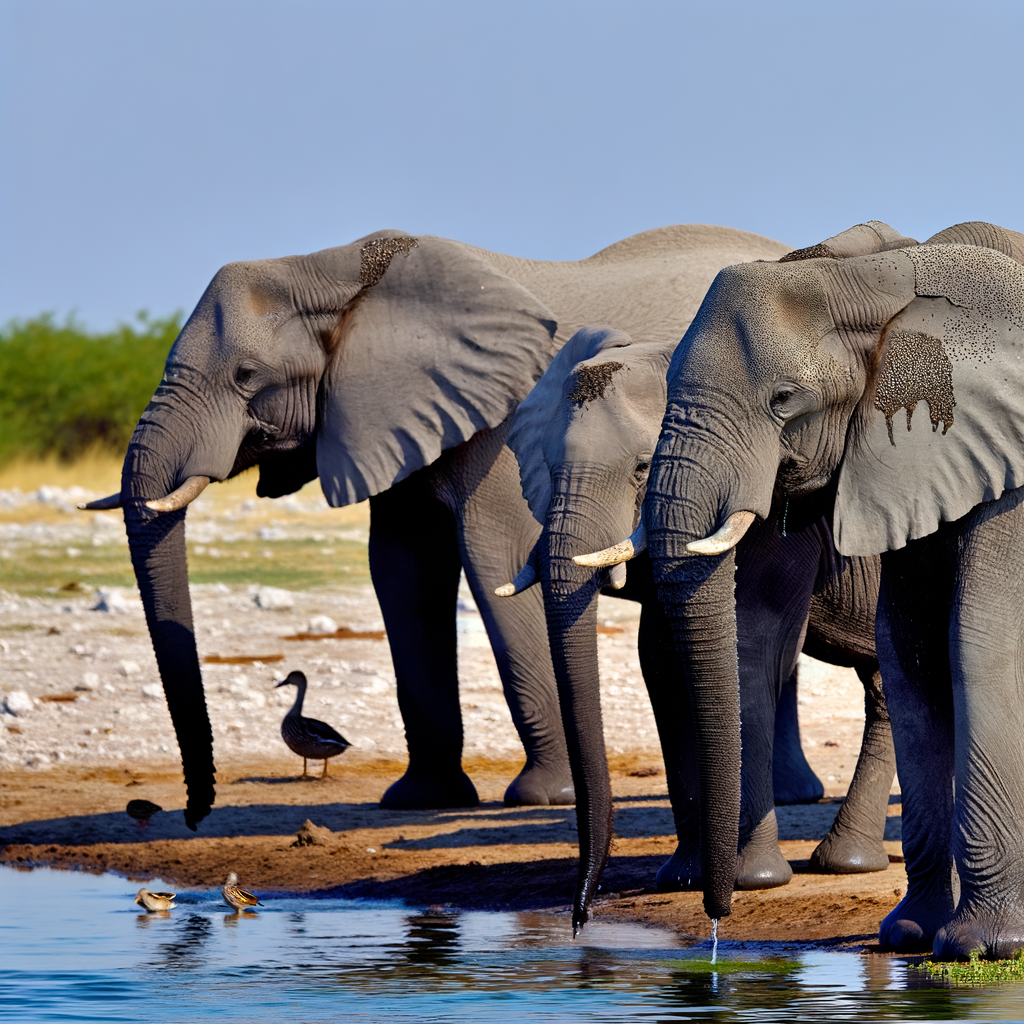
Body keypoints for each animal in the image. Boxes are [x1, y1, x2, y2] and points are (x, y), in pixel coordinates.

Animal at [86, 224, 790, 827]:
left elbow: (495, 561)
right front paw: (419, 801)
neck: (341, 272)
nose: (193, 814)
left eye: (246, 377)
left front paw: (542, 797)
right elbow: (401, 574)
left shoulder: (501, 426)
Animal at [502, 325, 895, 932]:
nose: (579, 918)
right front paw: (687, 878)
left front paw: (750, 880)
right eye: (543, 463)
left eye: (642, 468)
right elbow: (662, 663)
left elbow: (752, 645)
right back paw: (849, 862)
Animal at [639, 218, 1024, 958]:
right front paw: (908, 935)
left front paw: (983, 947)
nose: (716, 920)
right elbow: (912, 659)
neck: (881, 279)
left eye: (783, 399)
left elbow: (977, 646)